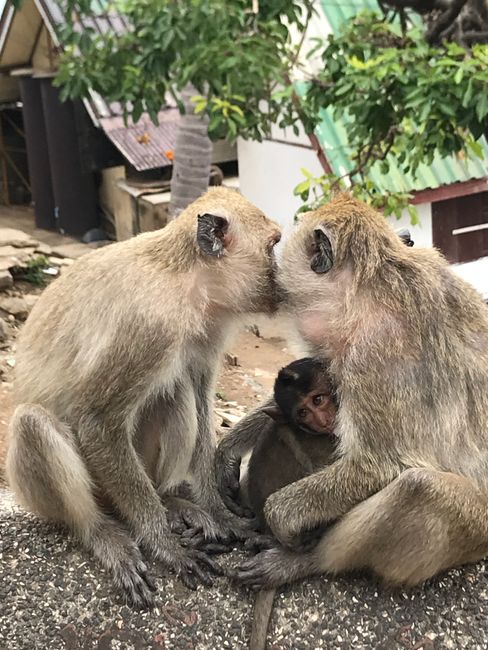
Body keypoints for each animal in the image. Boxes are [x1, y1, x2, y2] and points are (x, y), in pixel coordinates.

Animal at [5, 185, 282, 604]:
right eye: (273, 247)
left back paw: (170, 500)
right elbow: (97, 422)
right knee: (31, 423)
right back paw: (100, 532)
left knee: (177, 392)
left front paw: (220, 513)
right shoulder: (150, 326)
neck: (184, 279)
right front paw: (163, 544)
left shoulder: (208, 329)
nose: (282, 281)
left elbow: (201, 402)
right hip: (69, 491)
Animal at [215, 195, 488, 596]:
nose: (274, 284)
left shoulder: (375, 351)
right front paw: (231, 445)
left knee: (420, 489)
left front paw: (280, 519)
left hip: (478, 528)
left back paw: (304, 561)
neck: (375, 285)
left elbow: (377, 464)